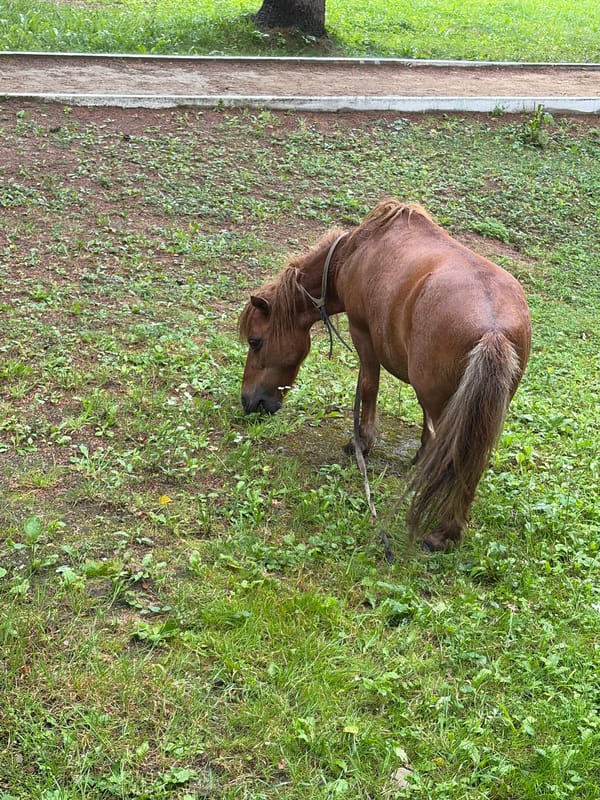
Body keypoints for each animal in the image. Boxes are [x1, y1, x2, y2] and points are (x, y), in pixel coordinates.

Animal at [239, 200, 531, 552]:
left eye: (256, 341)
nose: (248, 401)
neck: (355, 252)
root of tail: (493, 330)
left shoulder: (362, 333)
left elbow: (369, 386)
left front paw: (362, 442)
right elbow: (424, 422)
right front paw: (419, 457)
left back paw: (443, 532)